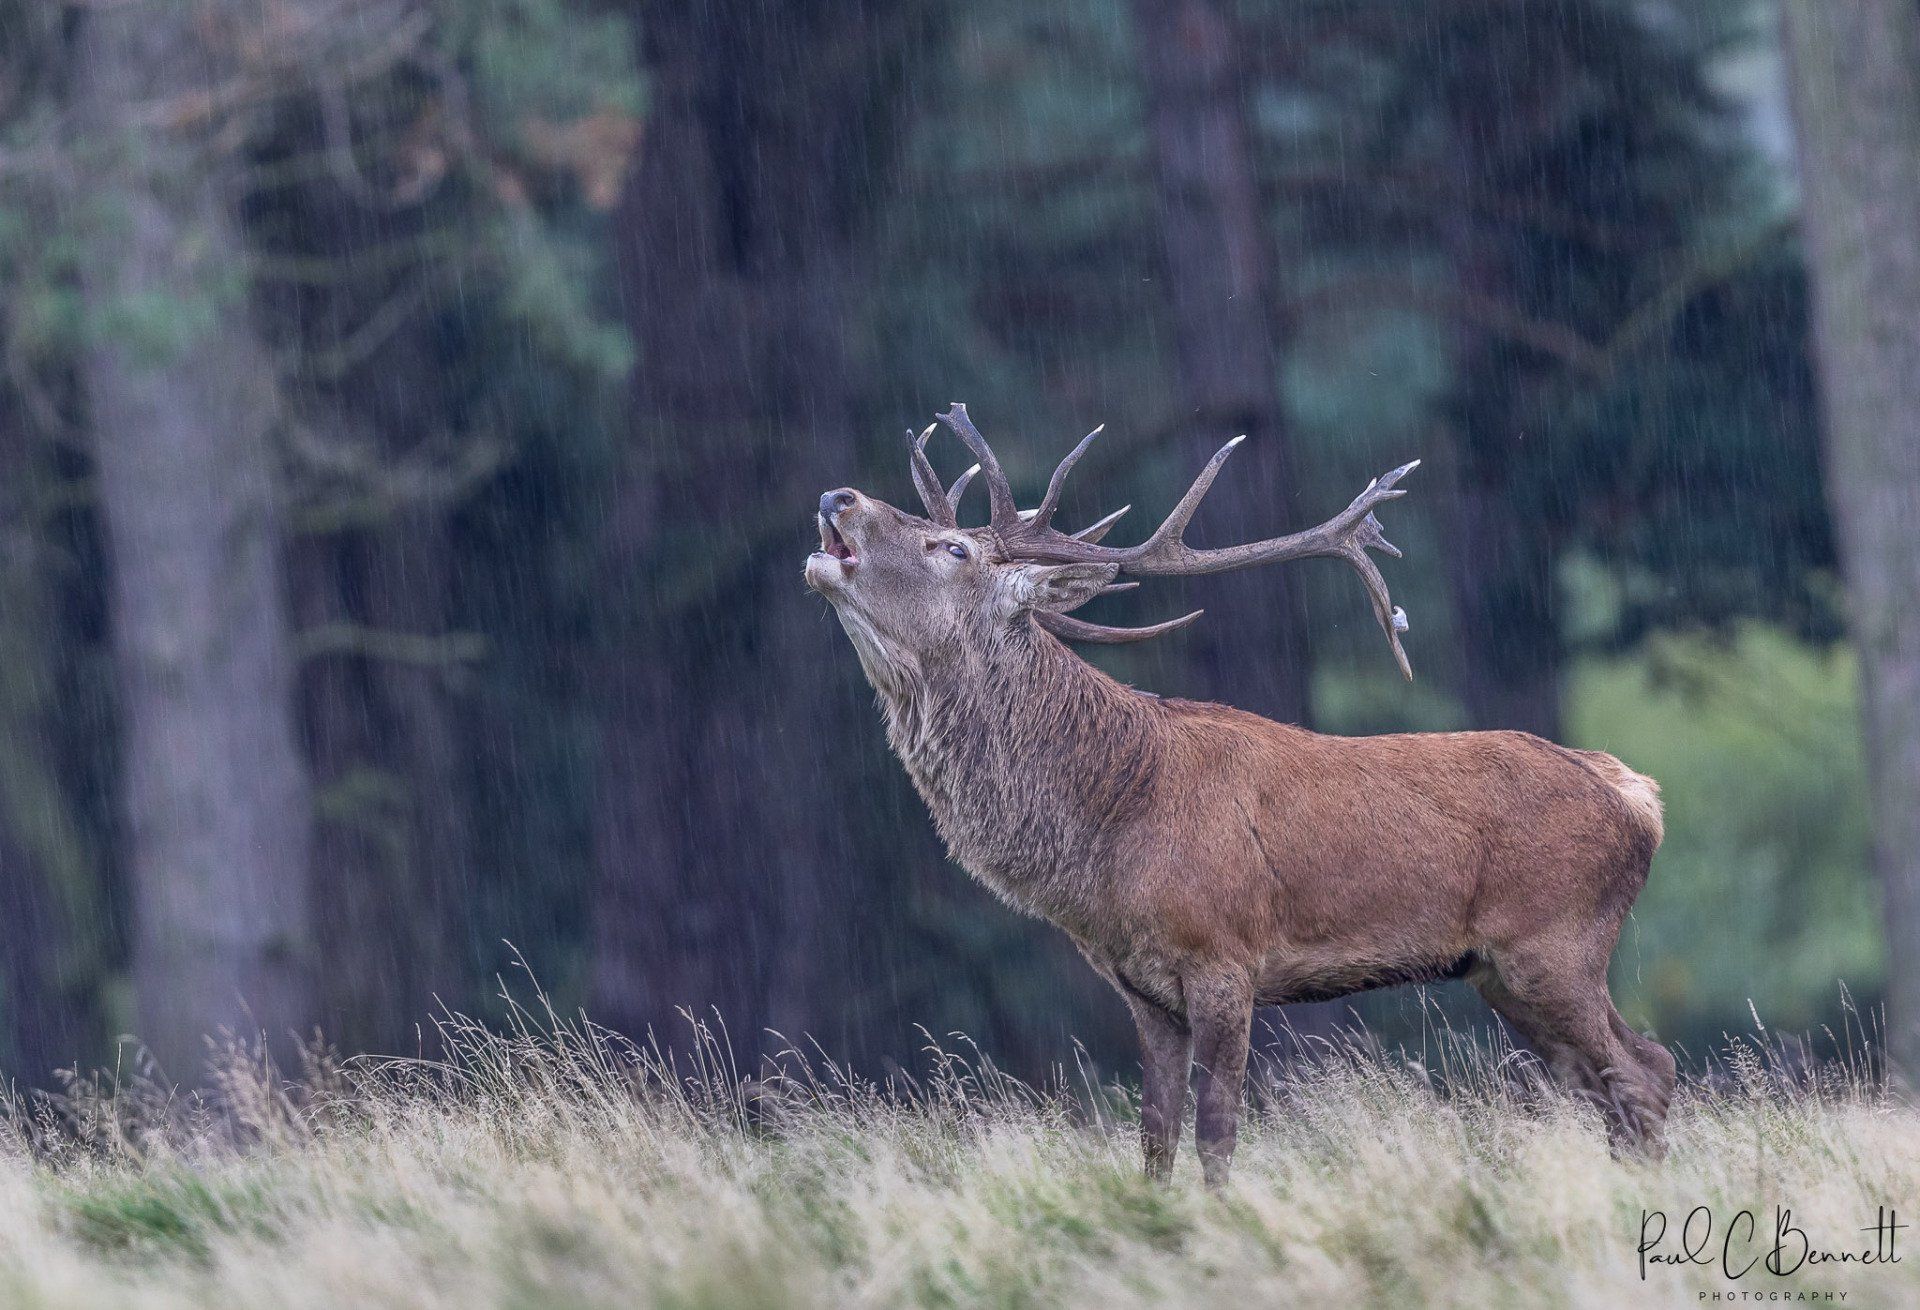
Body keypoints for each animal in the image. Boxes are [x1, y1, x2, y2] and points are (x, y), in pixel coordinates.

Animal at [804, 404, 1674, 1187]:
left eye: (949, 546)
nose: (837, 495)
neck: (1111, 827)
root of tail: (1637, 797)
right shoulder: (1142, 991)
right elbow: (1154, 1139)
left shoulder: (1224, 954)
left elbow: (1217, 1133)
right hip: (1500, 971)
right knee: (1622, 1082)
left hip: (1555, 941)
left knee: (1644, 1072)